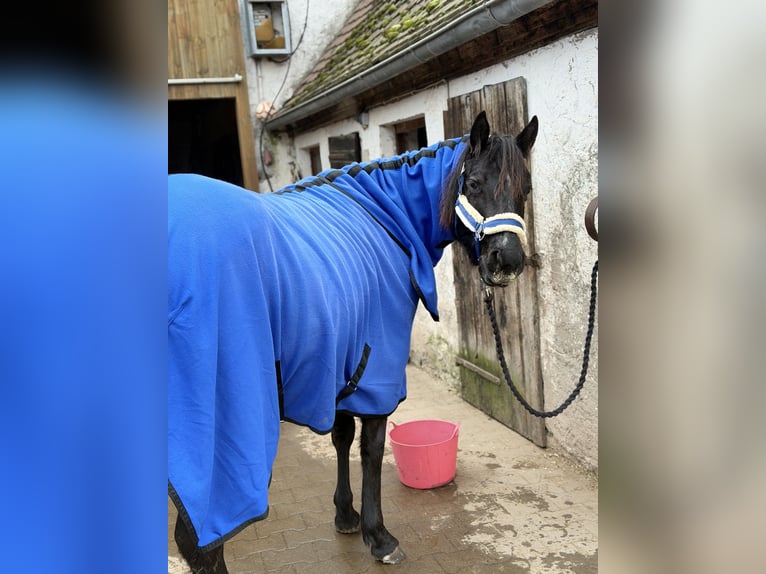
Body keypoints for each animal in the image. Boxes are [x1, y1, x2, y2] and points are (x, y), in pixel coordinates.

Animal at [168, 110, 538, 573]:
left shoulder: (344, 362)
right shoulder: (377, 371)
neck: (387, 217)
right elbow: (372, 449)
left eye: (525, 189)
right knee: (199, 541)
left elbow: (341, 437)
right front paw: (378, 536)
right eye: (472, 184)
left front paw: (345, 515)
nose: (507, 261)